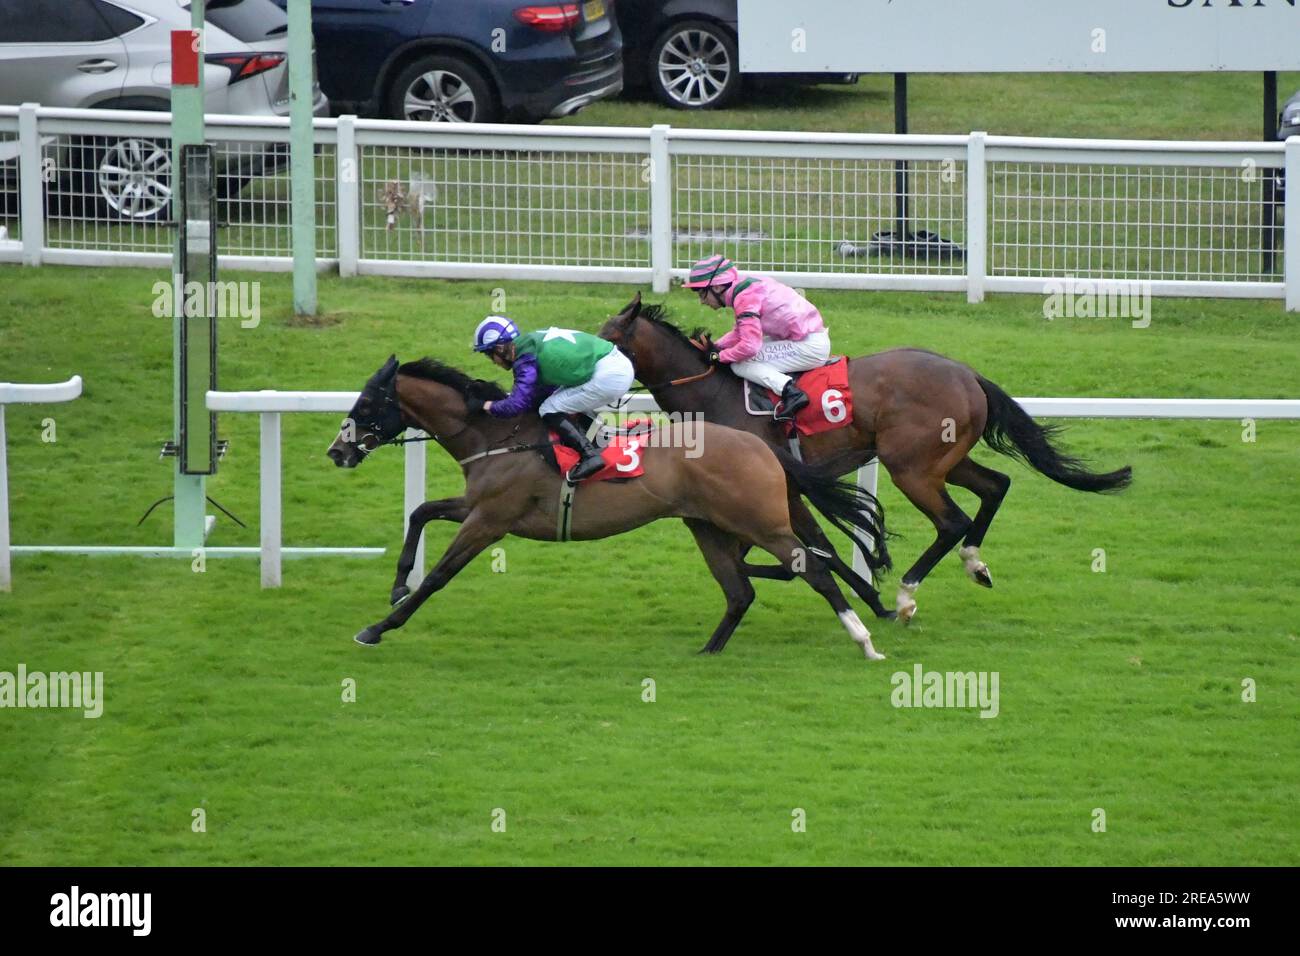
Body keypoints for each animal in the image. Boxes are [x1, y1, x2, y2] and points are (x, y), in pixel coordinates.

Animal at [325, 356, 894, 660]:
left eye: (367, 404)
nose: (337, 452)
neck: (496, 435)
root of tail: (760, 445)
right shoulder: (477, 505)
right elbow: (421, 511)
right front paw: (397, 585)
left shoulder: (490, 520)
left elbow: (440, 575)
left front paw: (378, 626)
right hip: (706, 525)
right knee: (740, 591)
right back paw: (708, 651)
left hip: (761, 521)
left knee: (812, 569)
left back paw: (865, 639)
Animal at [595, 293, 1128, 621]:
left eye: (610, 342)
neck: (712, 394)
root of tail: (968, 374)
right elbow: (764, 552)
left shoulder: (783, 489)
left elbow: (817, 547)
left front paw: (871, 596)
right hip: (946, 460)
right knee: (997, 486)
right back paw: (975, 565)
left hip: (910, 467)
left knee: (952, 521)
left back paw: (907, 594)